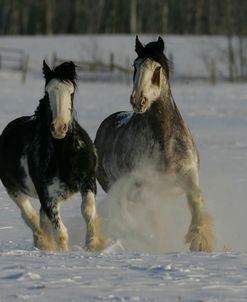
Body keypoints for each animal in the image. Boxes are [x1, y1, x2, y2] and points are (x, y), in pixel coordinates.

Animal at [0, 60, 104, 251]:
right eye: (47, 92)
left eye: (71, 92)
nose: (59, 128)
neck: (64, 155)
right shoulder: (47, 195)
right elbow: (61, 232)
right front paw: (63, 253)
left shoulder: (88, 181)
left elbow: (88, 211)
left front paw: (92, 244)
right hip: (14, 190)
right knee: (30, 216)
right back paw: (43, 244)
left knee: (41, 219)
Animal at [95, 36, 215, 251]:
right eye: (134, 65)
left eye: (157, 69)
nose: (138, 101)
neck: (165, 141)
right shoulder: (146, 187)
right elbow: (154, 218)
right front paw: (161, 243)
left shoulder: (189, 174)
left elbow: (196, 199)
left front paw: (199, 241)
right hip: (114, 185)